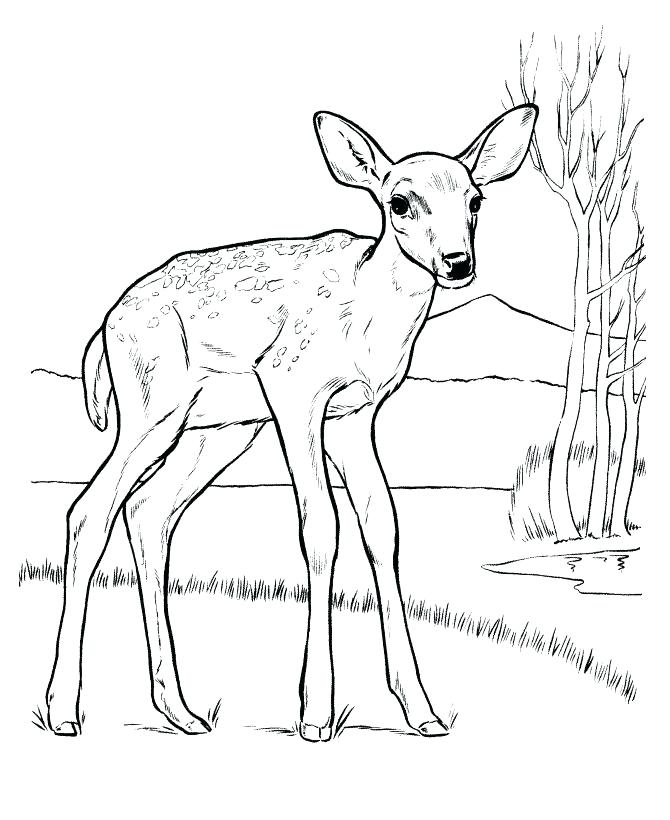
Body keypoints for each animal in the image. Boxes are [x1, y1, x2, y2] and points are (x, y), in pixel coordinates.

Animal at [46, 104, 538, 740]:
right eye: (399, 201)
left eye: (476, 199)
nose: (457, 263)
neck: (367, 316)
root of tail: (107, 325)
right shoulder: (293, 390)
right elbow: (321, 526)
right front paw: (316, 713)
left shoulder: (355, 416)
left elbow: (382, 526)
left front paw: (423, 712)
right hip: (152, 409)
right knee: (89, 511)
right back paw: (63, 711)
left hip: (217, 430)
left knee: (147, 511)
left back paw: (182, 711)